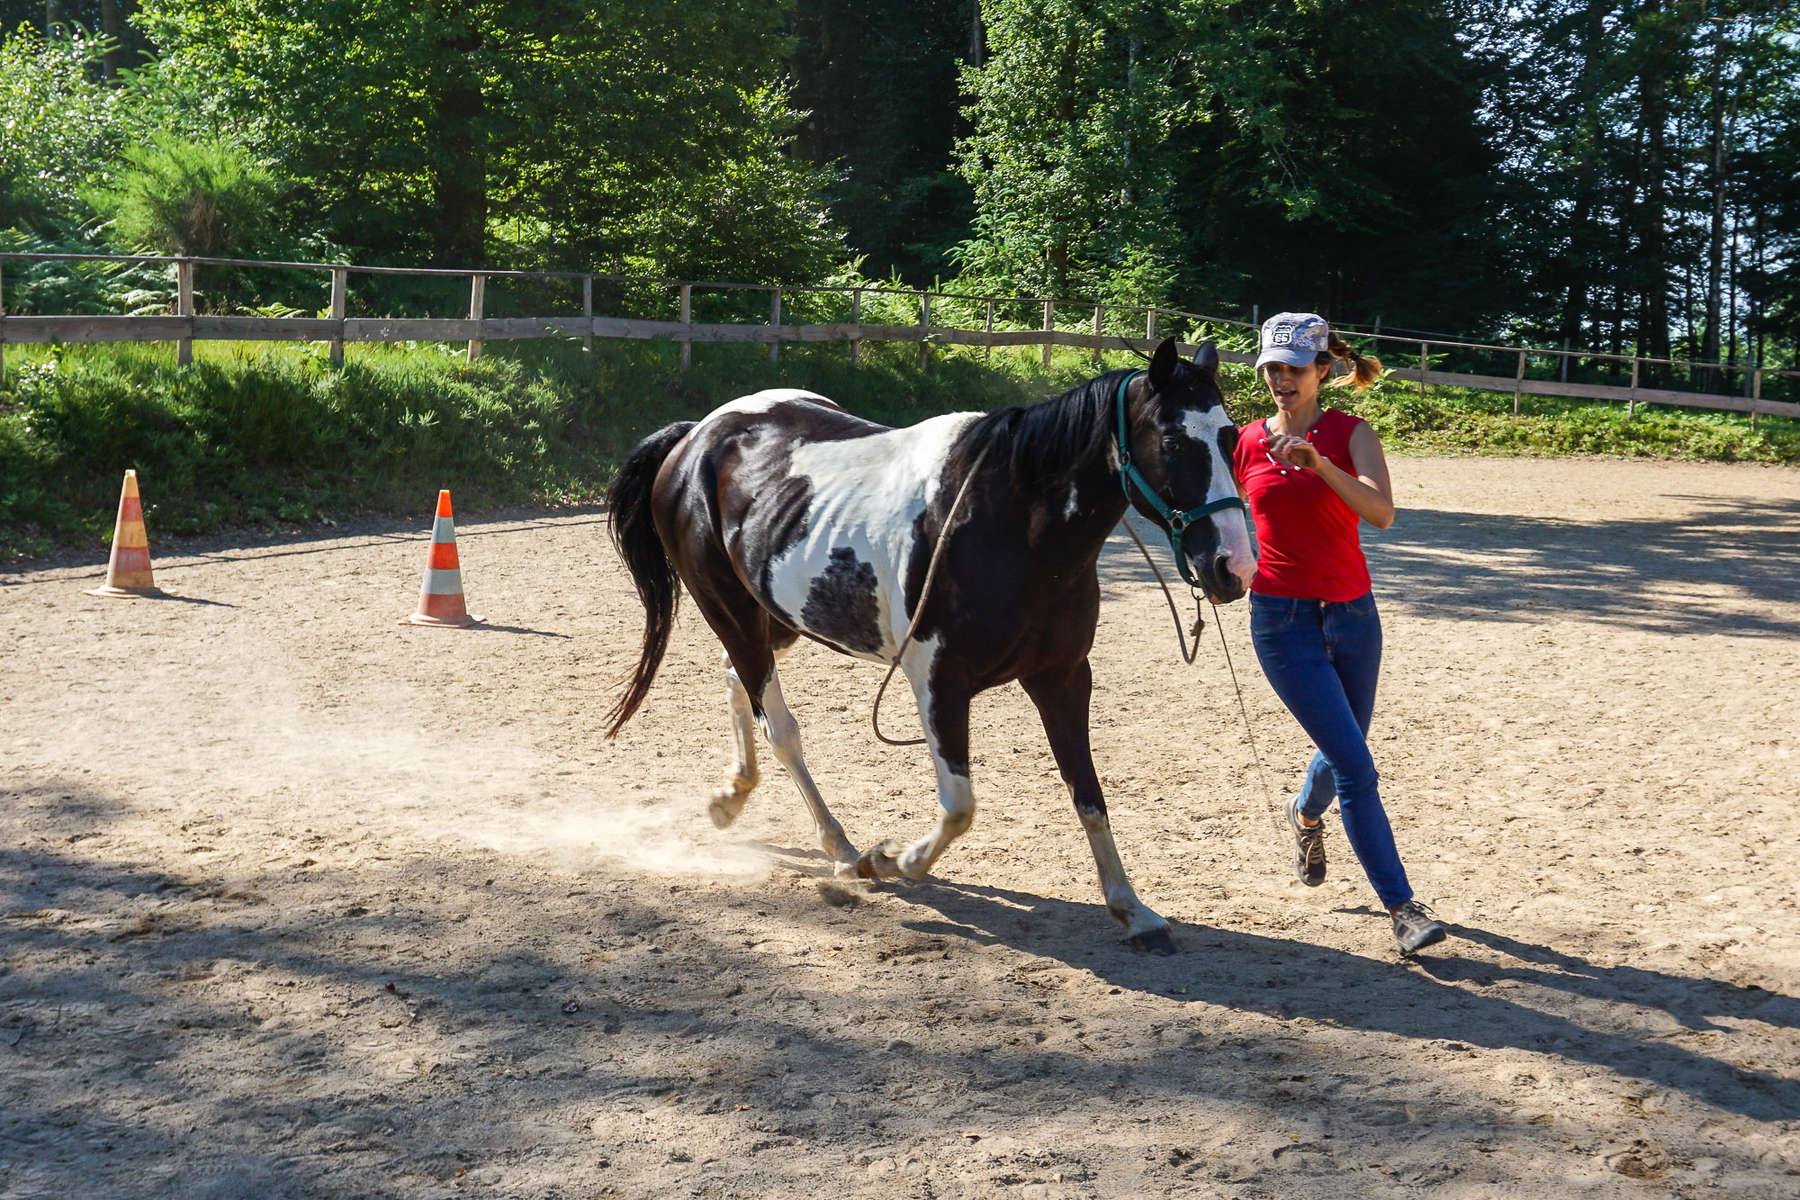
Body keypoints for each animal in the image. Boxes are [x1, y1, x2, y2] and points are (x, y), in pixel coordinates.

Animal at [604, 340, 1252, 957]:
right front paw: (889, 860)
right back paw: (842, 848)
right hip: (733, 613)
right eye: (1173, 438)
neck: (1009, 523)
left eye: (1230, 436)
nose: (1233, 567)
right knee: (780, 728)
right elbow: (959, 805)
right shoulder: (939, 682)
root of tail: (697, 437)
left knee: (737, 679)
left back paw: (731, 797)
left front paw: (1133, 911)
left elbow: (1088, 794)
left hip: (779, 617)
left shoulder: (1063, 677)